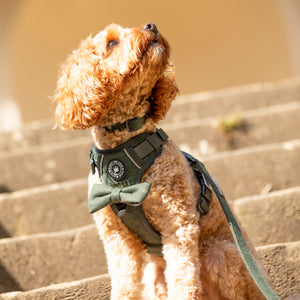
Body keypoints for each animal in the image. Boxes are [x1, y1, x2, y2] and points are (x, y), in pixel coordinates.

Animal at [54, 22, 264, 300]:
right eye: (112, 43)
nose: (150, 25)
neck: (124, 150)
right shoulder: (117, 240)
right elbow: (124, 284)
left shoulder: (178, 224)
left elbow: (184, 280)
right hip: (155, 275)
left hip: (221, 255)